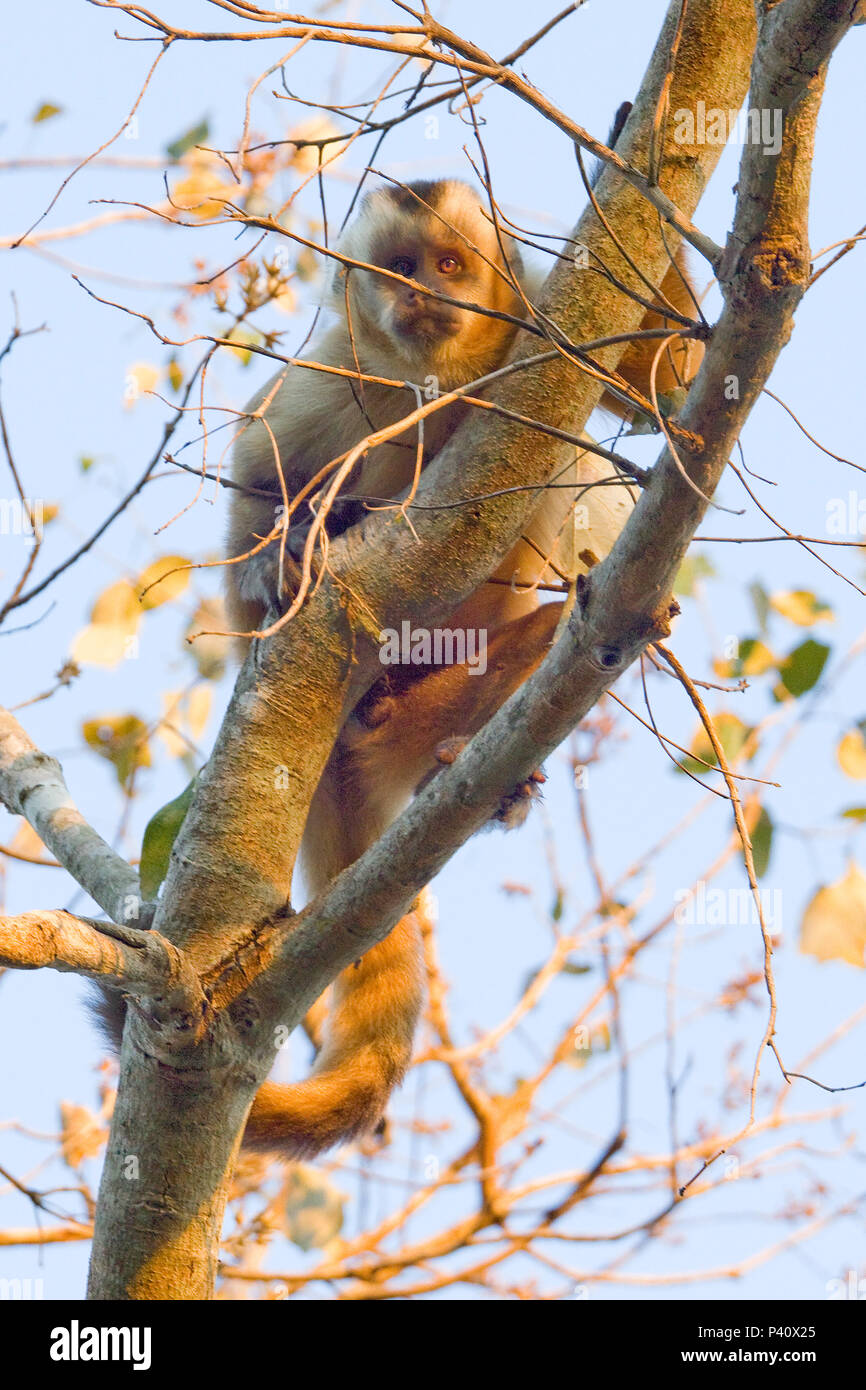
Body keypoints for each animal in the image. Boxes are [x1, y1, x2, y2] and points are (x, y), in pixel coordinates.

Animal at [94, 168, 706, 1162]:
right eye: (400, 268)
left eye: (451, 265)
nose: (420, 297)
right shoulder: (335, 378)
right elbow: (253, 490)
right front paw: (278, 563)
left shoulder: (540, 337)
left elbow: (667, 383)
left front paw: (630, 164)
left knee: (582, 618)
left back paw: (482, 761)